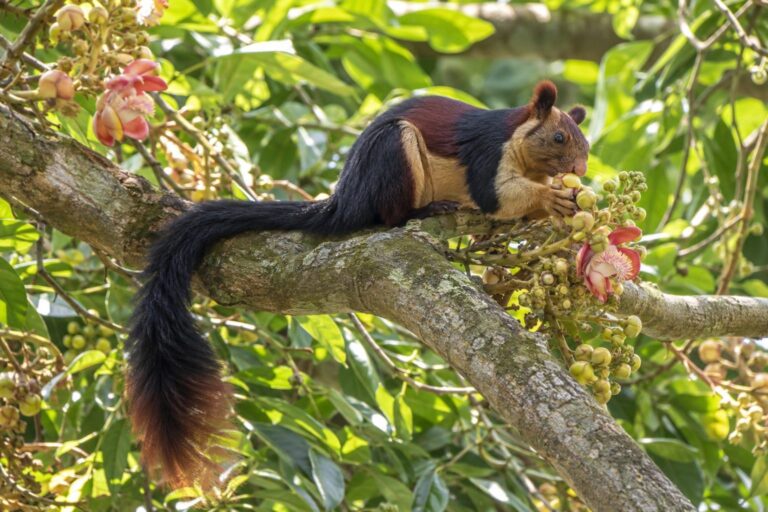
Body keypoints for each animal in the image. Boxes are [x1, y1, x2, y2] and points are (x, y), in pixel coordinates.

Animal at [127, 80, 590, 487]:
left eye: (584, 144)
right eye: (559, 137)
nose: (581, 169)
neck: (521, 144)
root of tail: (346, 198)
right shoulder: (488, 155)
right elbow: (499, 197)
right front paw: (550, 198)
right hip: (393, 152)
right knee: (390, 215)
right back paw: (425, 211)